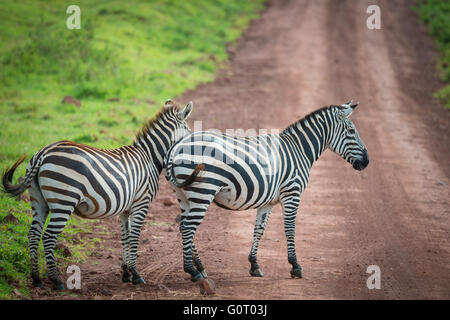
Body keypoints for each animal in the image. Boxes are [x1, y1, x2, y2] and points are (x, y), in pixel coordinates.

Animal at [2, 100, 194, 290]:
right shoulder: (141, 203)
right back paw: (56, 281)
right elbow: (134, 236)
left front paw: (126, 273)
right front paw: (136, 274)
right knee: (48, 237)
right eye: (188, 130)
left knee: (34, 234)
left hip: (38, 200)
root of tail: (43, 153)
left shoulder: (125, 209)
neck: (149, 158)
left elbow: (125, 236)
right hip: (63, 201)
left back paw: (37, 279)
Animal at [165, 100, 370, 296]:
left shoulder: (268, 202)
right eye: (351, 131)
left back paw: (200, 268)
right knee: (188, 227)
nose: (367, 162)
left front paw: (254, 265)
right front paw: (295, 266)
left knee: (183, 226)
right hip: (203, 192)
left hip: (183, 195)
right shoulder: (292, 193)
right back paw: (193, 271)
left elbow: (259, 230)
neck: (299, 150)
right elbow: (289, 229)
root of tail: (178, 146)